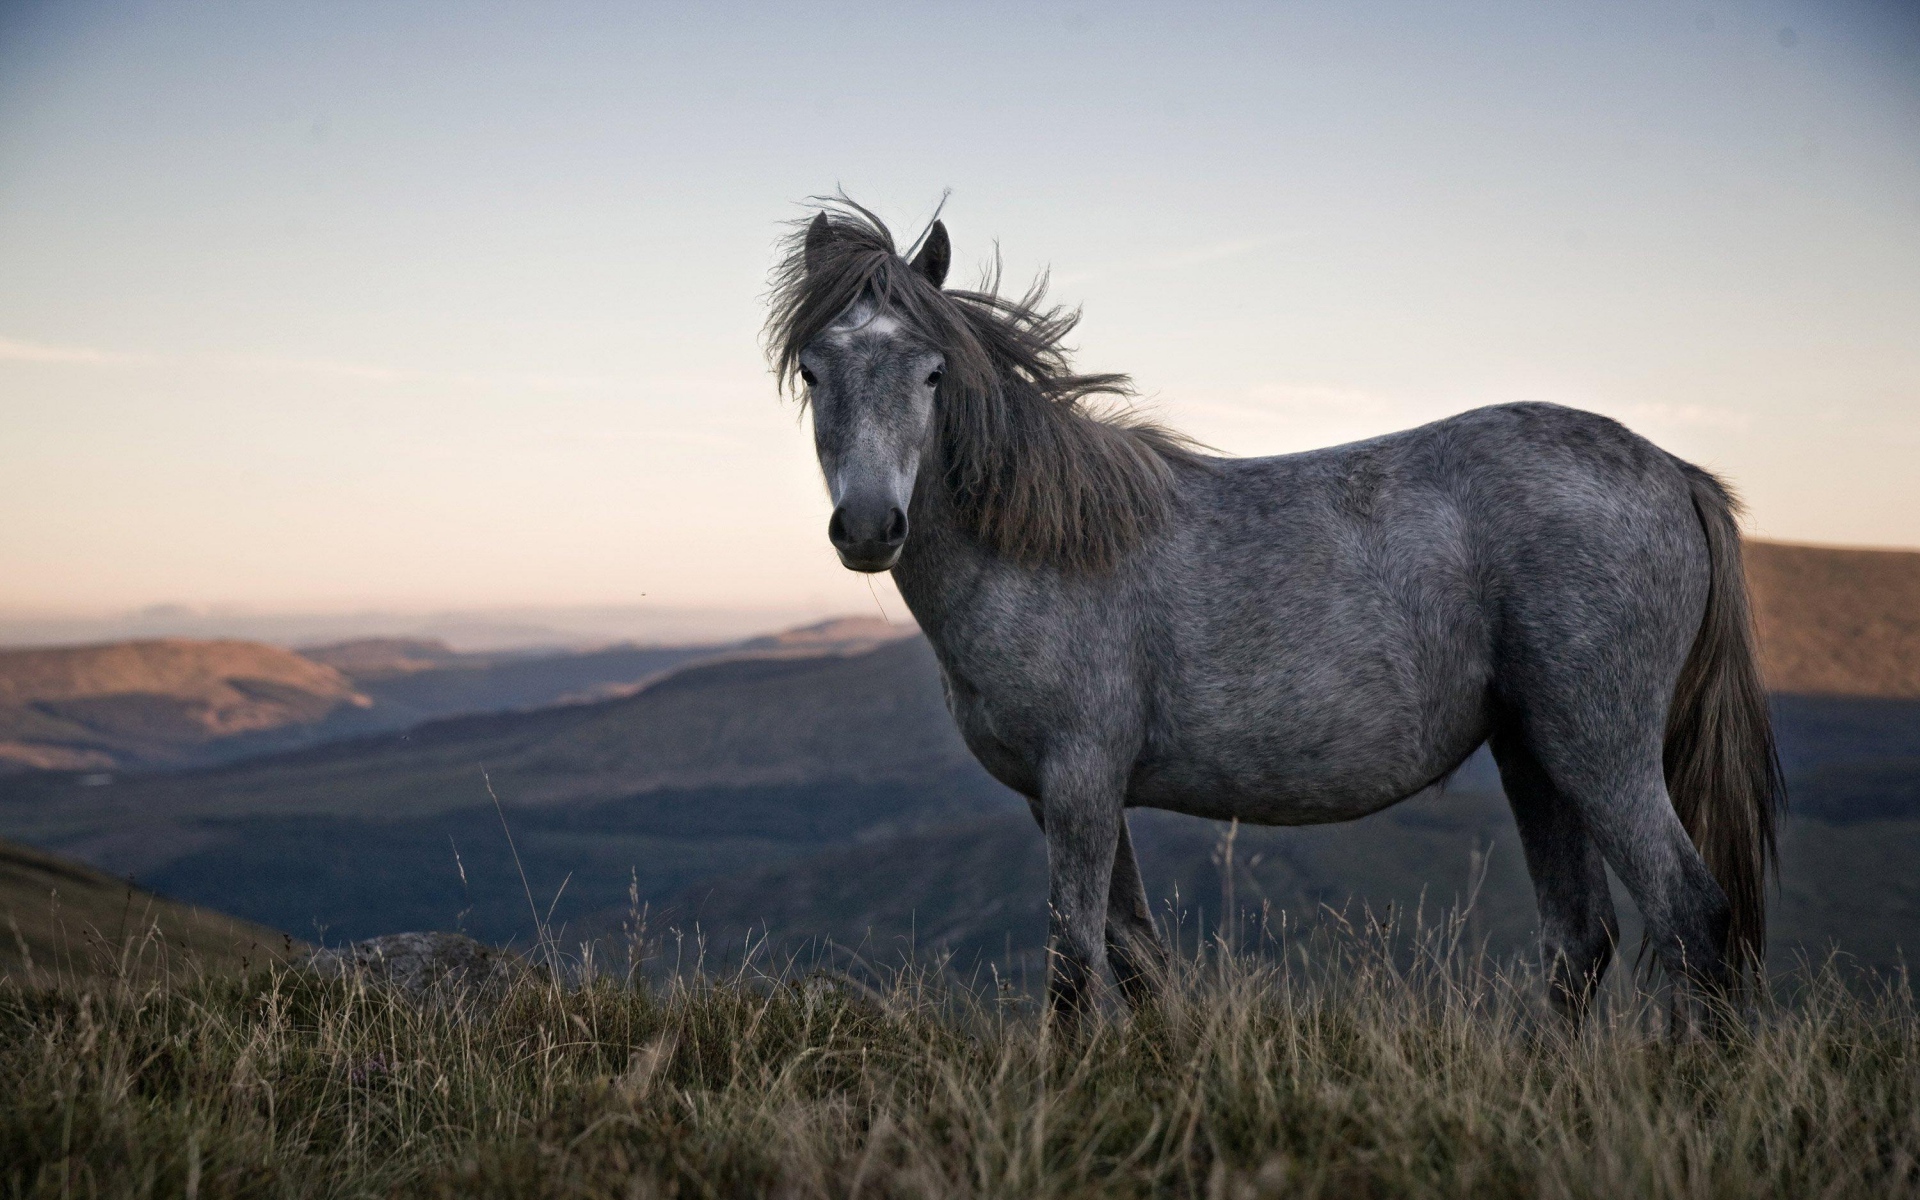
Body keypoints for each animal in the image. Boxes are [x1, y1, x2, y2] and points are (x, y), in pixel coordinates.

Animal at [765, 199, 1782, 1025]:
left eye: (932, 372)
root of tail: (1675, 473)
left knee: (1692, 916)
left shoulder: (1081, 781)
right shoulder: (1061, 795)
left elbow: (1075, 969)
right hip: (1535, 754)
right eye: (813, 370)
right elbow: (1136, 959)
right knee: (1581, 940)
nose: (869, 525)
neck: (1046, 547)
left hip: (1600, 750)